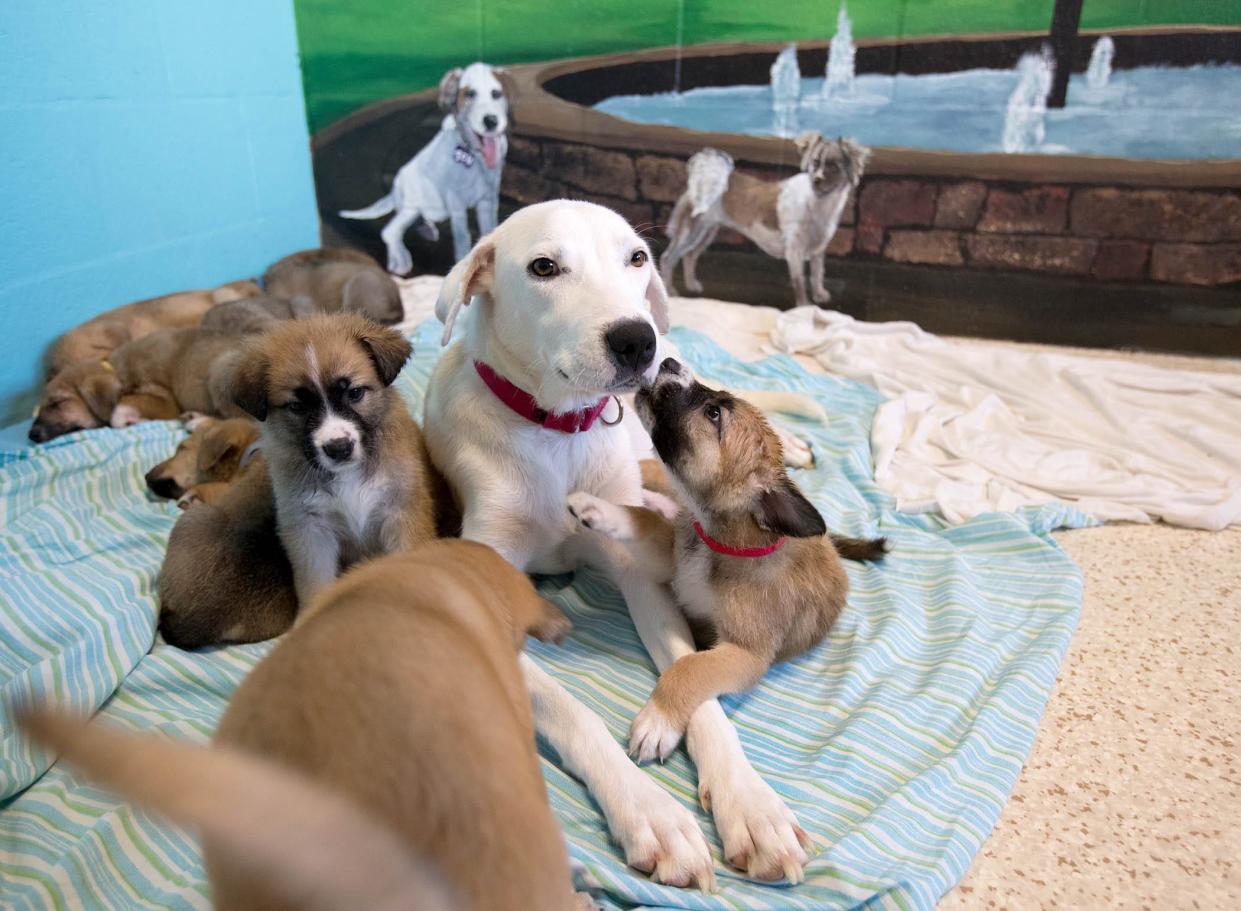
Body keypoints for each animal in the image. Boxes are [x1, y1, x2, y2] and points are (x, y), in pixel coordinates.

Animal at [340, 62, 508, 274]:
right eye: (469, 94)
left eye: (496, 93)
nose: (491, 121)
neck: (473, 156)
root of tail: (395, 191)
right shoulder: (457, 205)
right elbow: (463, 238)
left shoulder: (489, 199)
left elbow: (490, 229)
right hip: (412, 204)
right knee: (390, 231)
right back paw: (400, 259)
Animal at [426, 201, 814, 893]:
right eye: (544, 267)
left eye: (636, 258)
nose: (637, 340)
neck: (557, 433)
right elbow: (572, 710)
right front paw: (649, 812)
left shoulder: (641, 578)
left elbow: (692, 677)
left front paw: (750, 805)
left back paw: (788, 443)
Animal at [568, 357, 888, 784]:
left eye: (714, 414)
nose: (668, 361)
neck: (714, 542)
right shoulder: (672, 557)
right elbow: (640, 519)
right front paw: (595, 507)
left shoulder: (745, 653)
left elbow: (690, 667)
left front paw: (658, 720)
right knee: (651, 478)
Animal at [660, 132, 873, 309]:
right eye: (815, 163)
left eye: (833, 166)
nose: (816, 180)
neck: (818, 203)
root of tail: (700, 180)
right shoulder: (794, 250)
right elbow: (799, 281)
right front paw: (804, 307)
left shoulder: (818, 249)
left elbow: (816, 274)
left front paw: (819, 295)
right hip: (690, 231)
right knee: (667, 258)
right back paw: (670, 291)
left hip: (706, 232)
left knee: (690, 256)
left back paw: (691, 285)